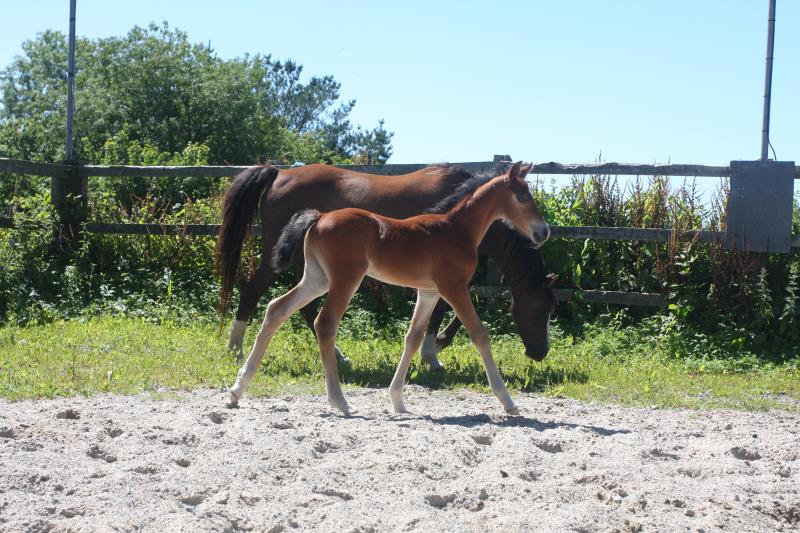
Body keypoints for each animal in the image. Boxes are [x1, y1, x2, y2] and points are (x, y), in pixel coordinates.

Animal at [228, 163, 552, 416]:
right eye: (522, 197)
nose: (544, 231)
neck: (455, 229)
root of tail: (319, 217)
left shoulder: (429, 292)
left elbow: (413, 337)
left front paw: (397, 400)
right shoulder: (454, 288)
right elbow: (479, 334)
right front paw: (508, 402)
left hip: (317, 278)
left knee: (277, 308)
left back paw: (237, 389)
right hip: (345, 280)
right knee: (324, 323)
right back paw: (339, 400)